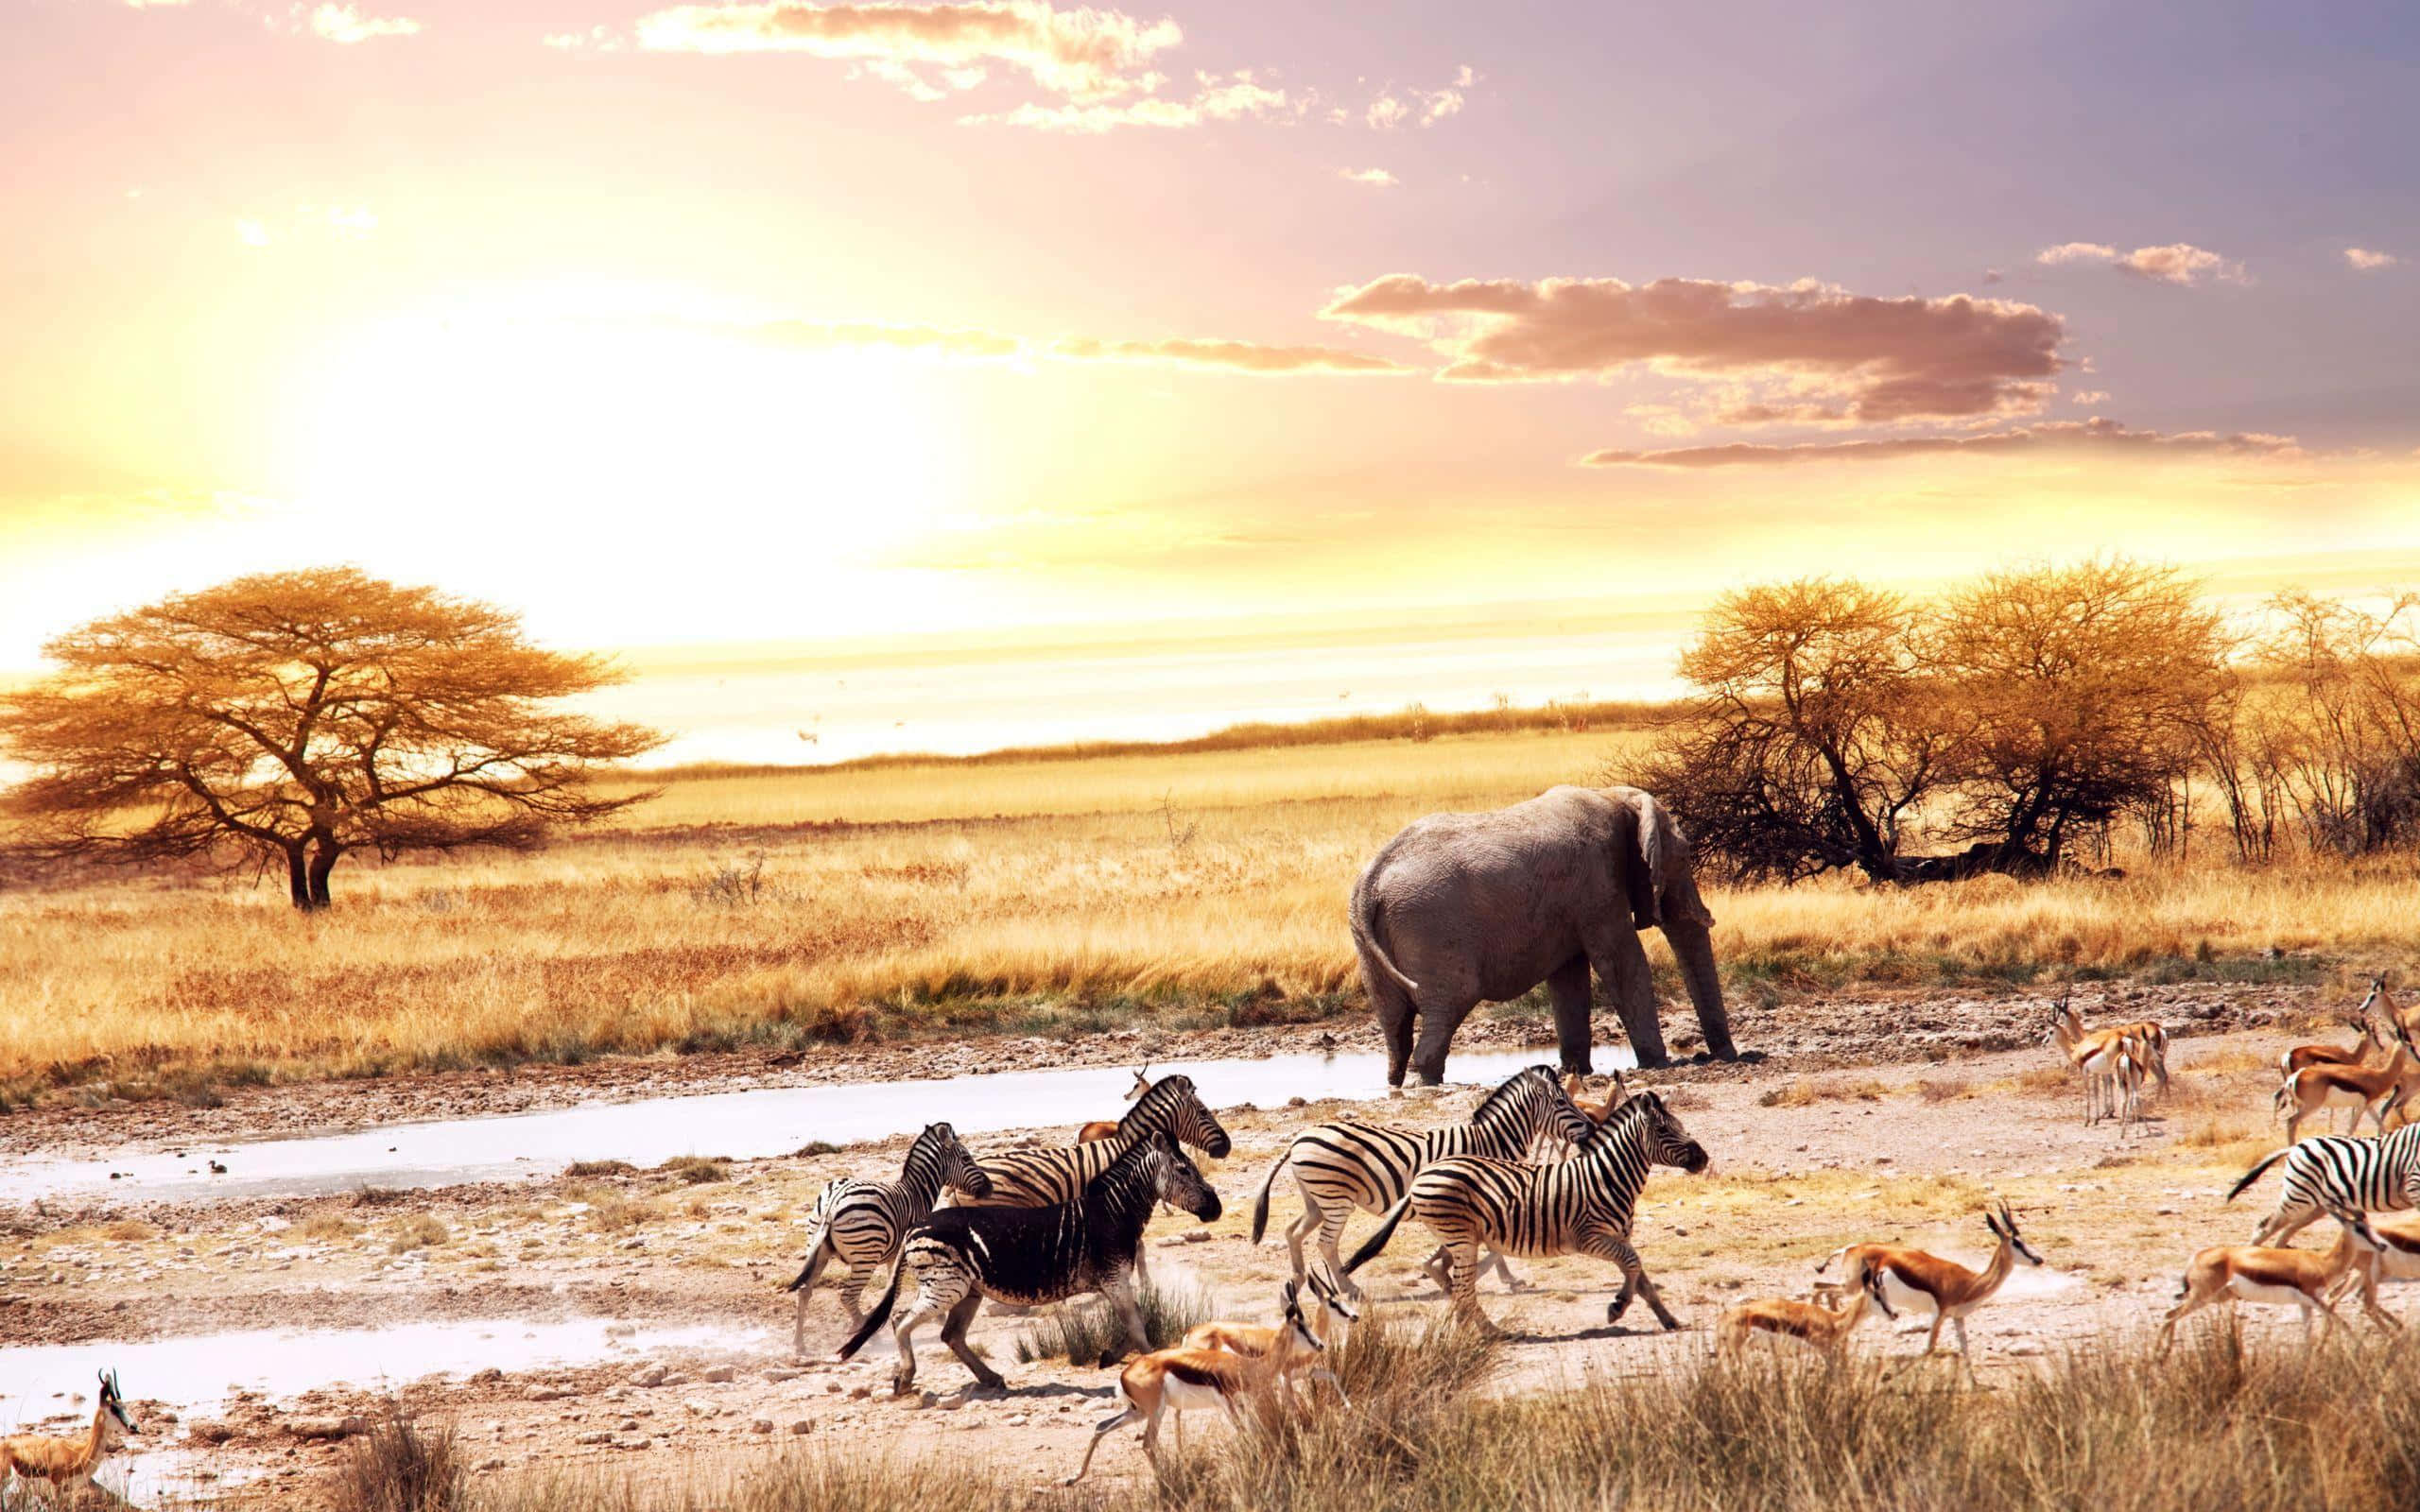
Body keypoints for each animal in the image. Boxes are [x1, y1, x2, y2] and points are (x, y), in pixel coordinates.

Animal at [1350, 784, 1734, 1086]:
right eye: (1683, 857)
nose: (1722, 1057)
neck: (1615, 797)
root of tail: (1371, 881)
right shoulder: (1598, 883)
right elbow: (1621, 963)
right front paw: (1658, 1064)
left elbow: (1569, 978)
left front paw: (1577, 1071)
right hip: (1430, 928)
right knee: (1450, 1003)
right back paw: (1425, 1083)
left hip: (1369, 939)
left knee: (1394, 1023)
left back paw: (1398, 1083)